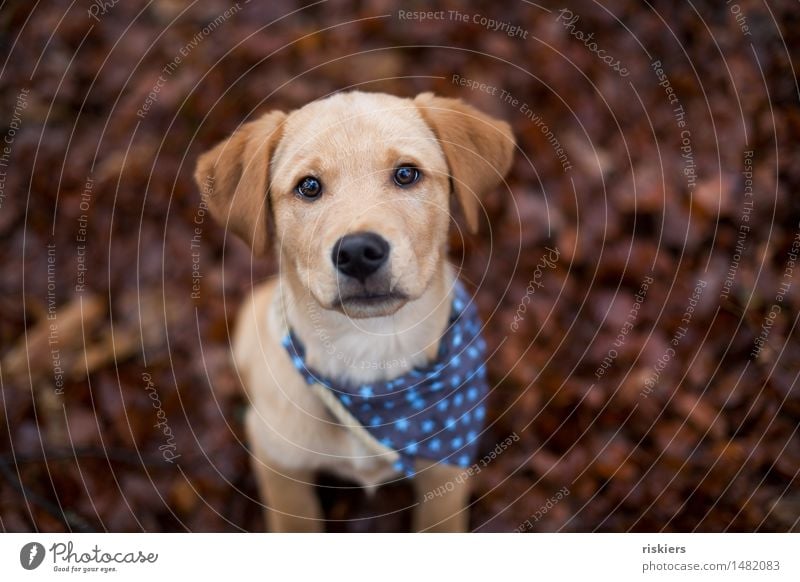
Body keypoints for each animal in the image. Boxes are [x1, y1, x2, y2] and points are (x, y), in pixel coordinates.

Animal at [197, 91, 516, 532]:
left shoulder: (445, 472)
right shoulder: (280, 464)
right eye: (309, 186)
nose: (359, 252)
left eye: (406, 174)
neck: (369, 350)